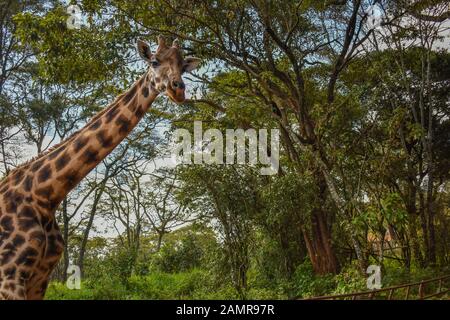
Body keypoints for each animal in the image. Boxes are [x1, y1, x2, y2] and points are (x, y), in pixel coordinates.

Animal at [0, 37, 200, 300]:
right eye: (154, 61)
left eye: (183, 66)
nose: (179, 90)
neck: (44, 194)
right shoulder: (10, 276)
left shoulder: (39, 279)